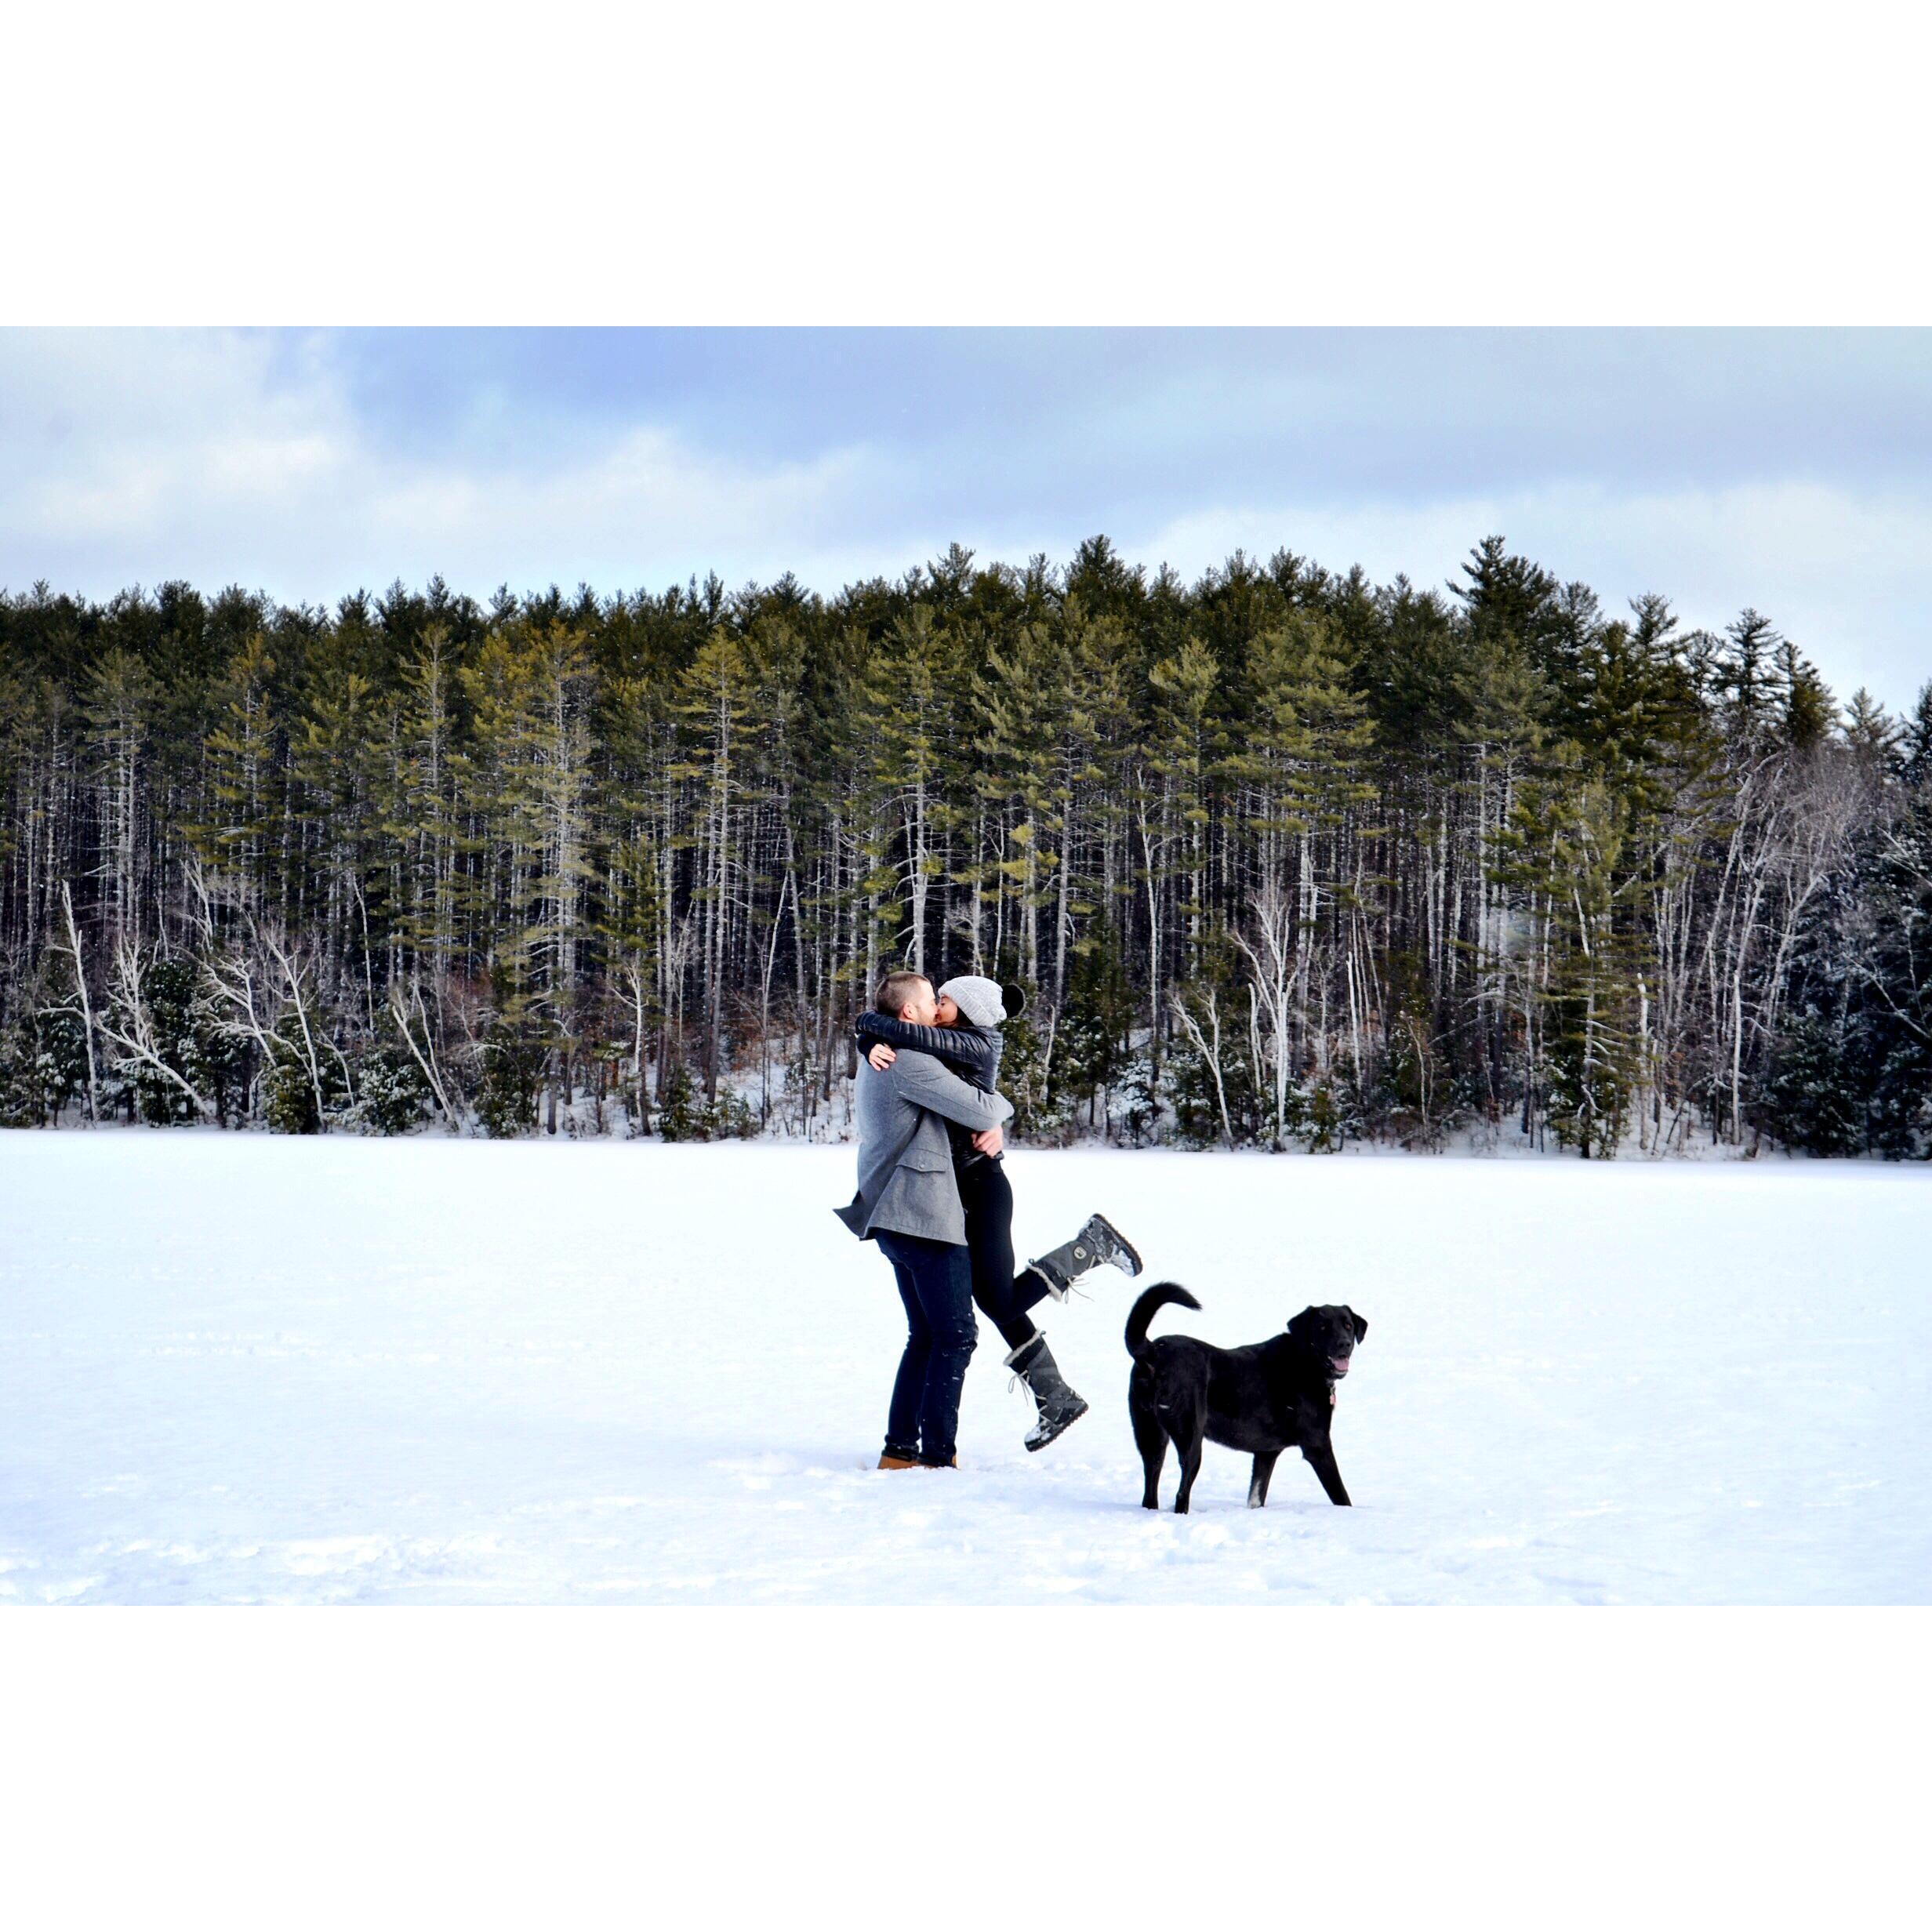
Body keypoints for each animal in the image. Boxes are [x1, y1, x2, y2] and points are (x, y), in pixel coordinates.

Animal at [1128, 1290, 1367, 1514]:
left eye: (1348, 1325)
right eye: (1323, 1327)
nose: (1344, 1344)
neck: (1305, 1362)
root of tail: (1153, 1350)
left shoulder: (1266, 1454)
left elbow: (1256, 1497)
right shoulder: (1318, 1446)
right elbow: (1342, 1496)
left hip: (1152, 1439)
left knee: (1150, 1490)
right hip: (1191, 1440)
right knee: (1181, 1493)